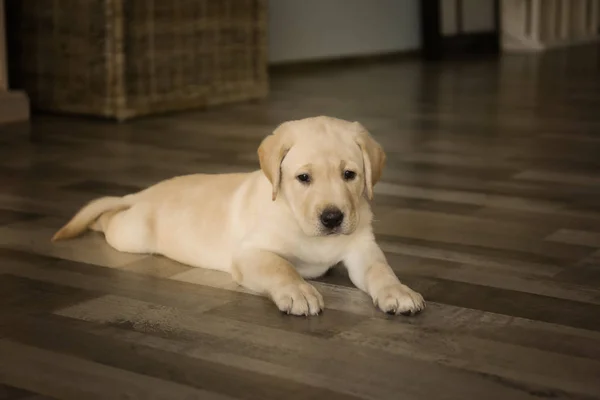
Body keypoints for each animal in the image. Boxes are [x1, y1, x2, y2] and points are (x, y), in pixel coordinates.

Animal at [52, 115, 426, 316]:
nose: (332, 218)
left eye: (350, 175)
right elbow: (281, 267)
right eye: (303, 178)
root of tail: (142, 194)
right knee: (107, 220)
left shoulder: (362, 249)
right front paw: (300, 292)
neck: (296, 217)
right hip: (131, 235)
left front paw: (398, 291)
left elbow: (381, 270)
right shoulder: (251, 253)